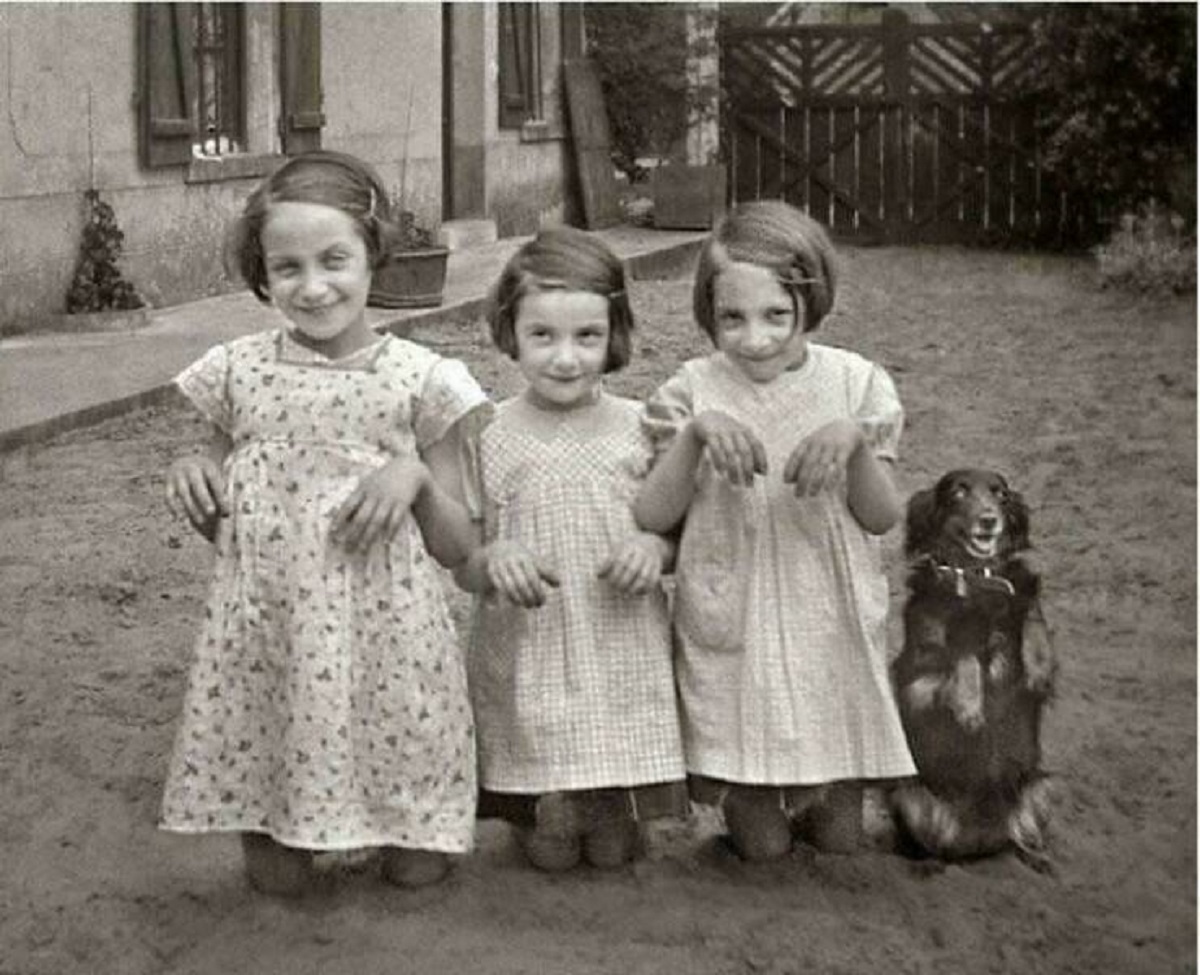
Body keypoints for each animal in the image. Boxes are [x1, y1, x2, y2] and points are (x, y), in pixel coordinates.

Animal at [888, 468, 1056, 864]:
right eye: (959, 492)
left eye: (1001, 494)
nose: (989, 520)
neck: (979, 578)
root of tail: (979, 842)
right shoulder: (917, 675)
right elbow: (962, 653)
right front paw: (968, 706)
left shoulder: (1018, 594)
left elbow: (1031, 615)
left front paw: (1039, 669)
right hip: (909, 794)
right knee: (931, 848)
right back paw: (929, 867)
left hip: (1040, 786)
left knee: (1019, 839)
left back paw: (1036, 860)